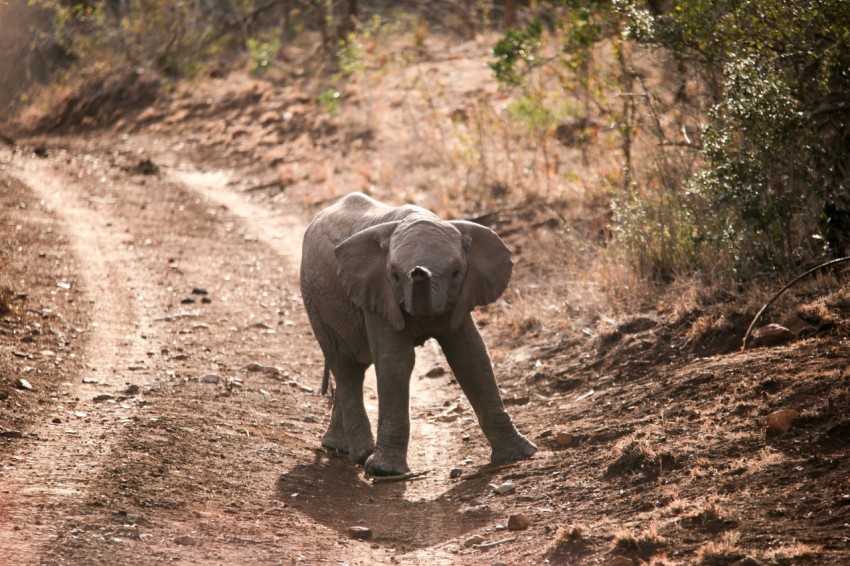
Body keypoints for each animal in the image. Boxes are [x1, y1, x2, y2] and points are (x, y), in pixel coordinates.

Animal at [299, 192, 536, 476]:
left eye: (456, 272)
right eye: (395, 275)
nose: (419, 271)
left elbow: (470, 356)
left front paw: (520, 454)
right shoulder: (378, 293)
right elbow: (396, 361)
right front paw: (385, 471)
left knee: (353, 367)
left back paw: (340, 448)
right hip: (314, 300)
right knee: (345, 367)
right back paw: (361, 454)